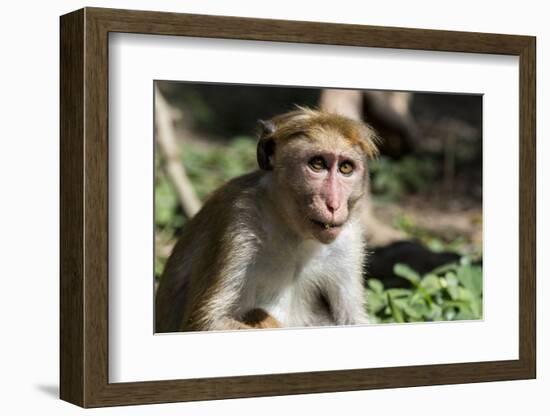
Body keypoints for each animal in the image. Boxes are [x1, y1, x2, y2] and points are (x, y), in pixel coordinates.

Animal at [155, 106, 380, 332]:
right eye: (317, 164)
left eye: (345, 168)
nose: (333, 204)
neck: (293, 230)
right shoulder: (239, 218)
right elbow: (206, 322)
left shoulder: (348, 240)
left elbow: (352, 318)